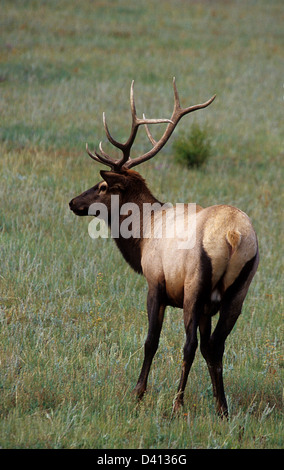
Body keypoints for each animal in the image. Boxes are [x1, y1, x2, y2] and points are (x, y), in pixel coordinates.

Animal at [68, 79, 258, 416]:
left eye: (102, 186)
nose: (73, 202)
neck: (144, 235)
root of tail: (234, 235)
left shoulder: (155, 282)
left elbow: (151, 341)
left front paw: (138, 391)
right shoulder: (208, 305)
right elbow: (208, 348)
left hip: (195, 285)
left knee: (190, 345)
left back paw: (177, 402)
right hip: (238, 291)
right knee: (216, 346)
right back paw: (222, 408)